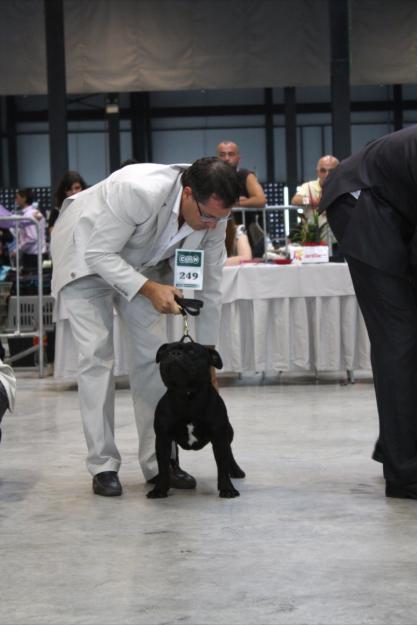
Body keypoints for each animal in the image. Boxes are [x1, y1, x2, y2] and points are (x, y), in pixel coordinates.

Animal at [146, 338, 244, 500]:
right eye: (167, 352)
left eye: (192, 352)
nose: (175, 353)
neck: (187, 395)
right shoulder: (163, 439)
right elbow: (163, 467)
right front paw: (159, 489)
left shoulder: (219, 438)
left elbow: (222, 465)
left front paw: (227, 489)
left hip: (228, 433)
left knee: (229, 452)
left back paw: (236, 470)